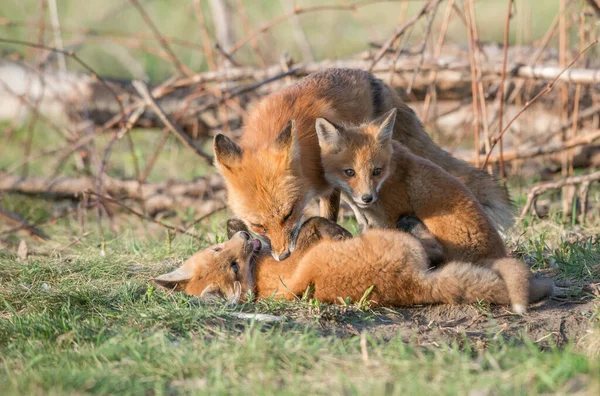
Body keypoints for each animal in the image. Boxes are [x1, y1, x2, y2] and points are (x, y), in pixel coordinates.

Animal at [211, 69, 510, 260]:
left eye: (289, 214)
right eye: (258, 225)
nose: (283, 256)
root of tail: (374, 78)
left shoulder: (330, 184)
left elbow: (327, 216)